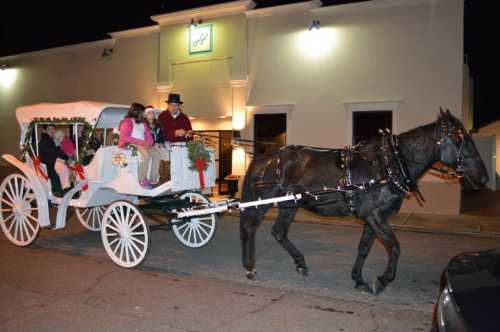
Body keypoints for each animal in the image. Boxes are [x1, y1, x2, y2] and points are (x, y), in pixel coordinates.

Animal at [238, 110, 488, 294]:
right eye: (459, 138)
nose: (484, 178)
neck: (388, 165)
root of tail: (264, 157)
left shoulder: (372, 217)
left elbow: (364, 248)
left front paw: (358, 279)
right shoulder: (375, 216)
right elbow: (395, 246)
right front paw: (383, 280)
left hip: (290, 205)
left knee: (279, 232)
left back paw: (300, 263)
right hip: (263, 202)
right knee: (250, 228)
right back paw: (249, 268)